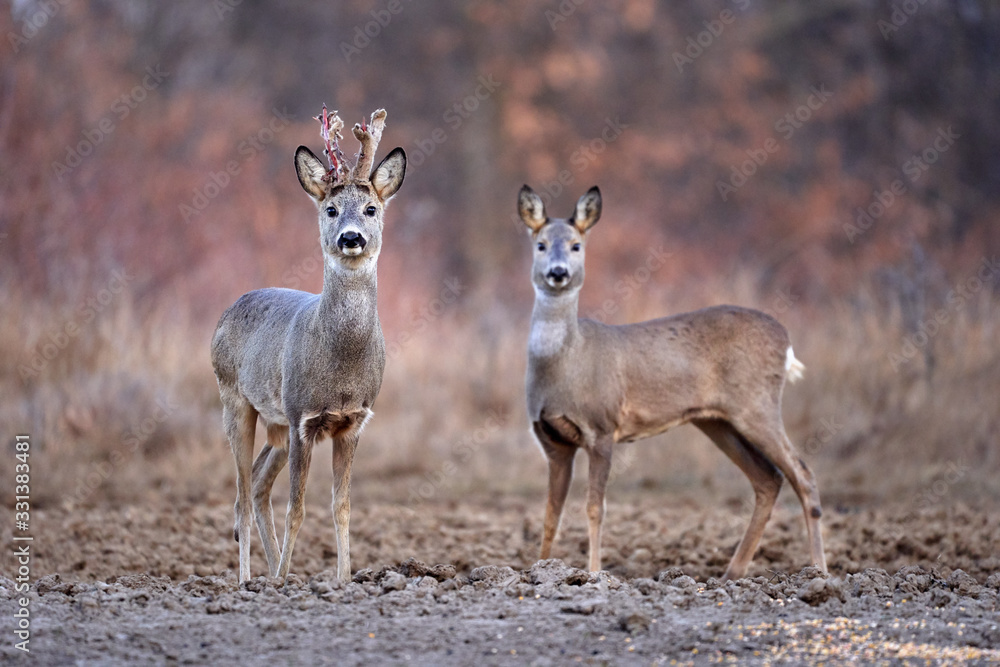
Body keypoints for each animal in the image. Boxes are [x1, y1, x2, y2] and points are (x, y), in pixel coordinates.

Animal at [211, 107, 405, 583]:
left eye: (371, 208)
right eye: (331, 209)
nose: (351, 237)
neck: (341, 366)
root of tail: (227, 311)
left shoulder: (353, 422)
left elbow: (342, 507)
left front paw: (344, 579)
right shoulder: (304, 416)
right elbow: (297, 509)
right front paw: (285, 579)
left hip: (275, 422)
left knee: (258, 486)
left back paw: (269, 572)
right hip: (235, 400)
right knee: (242, 493)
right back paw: (250, 580)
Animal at [517, 184, 826, 581]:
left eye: (576, 245)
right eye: (540, 244)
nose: (558, 272)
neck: (566, 363)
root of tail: (786, 342)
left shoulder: (602, 427)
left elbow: (595, 508)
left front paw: (594, 575)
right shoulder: (551, 440)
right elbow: (550, 513)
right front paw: (538, 569)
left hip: (757, 405)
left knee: (803, 474)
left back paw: (819, 573)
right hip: (716, 420)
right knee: (768, 479)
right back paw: (731, 574)